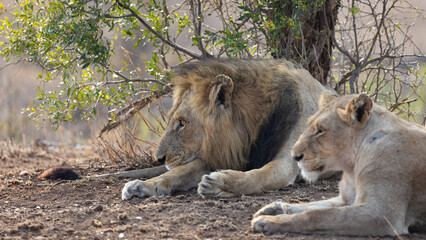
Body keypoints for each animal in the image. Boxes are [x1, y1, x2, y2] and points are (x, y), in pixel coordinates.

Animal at [121, 59, 328, 200]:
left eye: (182, 122)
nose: (159, 159)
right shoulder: (225, 154)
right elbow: (178, 172)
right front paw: (140, 186)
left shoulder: (287, 163)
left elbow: (258, 176)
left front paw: (218, 184)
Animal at [253, 93, 426, 235]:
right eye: (308, 124)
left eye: (321, 130)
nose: (294, 156)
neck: (352, 167)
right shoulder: (344, 199)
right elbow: (311, 205)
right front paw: (273, 208)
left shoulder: (382, 213)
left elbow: (315, 215)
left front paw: (267, 221)